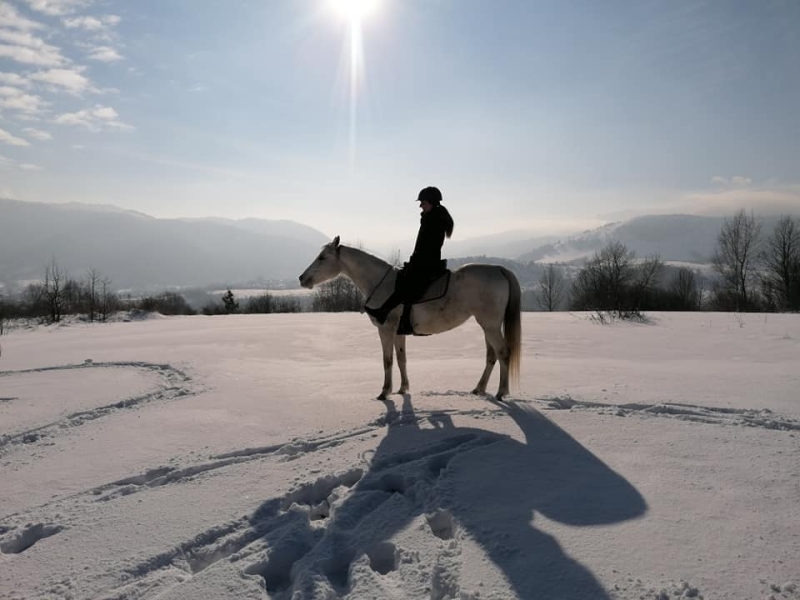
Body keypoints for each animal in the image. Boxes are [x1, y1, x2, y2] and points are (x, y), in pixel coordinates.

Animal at [296, 237, 520, 400]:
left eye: (322, 257)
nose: (301, 278)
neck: (382, 285)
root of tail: (499, 269)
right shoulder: (398, 332)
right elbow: (401, 359)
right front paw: (403, 389)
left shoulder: (386, 329)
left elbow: (387, 360)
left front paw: (384, 392)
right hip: (488, 325)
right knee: (491, 356)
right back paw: (479, 389)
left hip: (490, 325)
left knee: (503, 353)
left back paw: (501, 392)